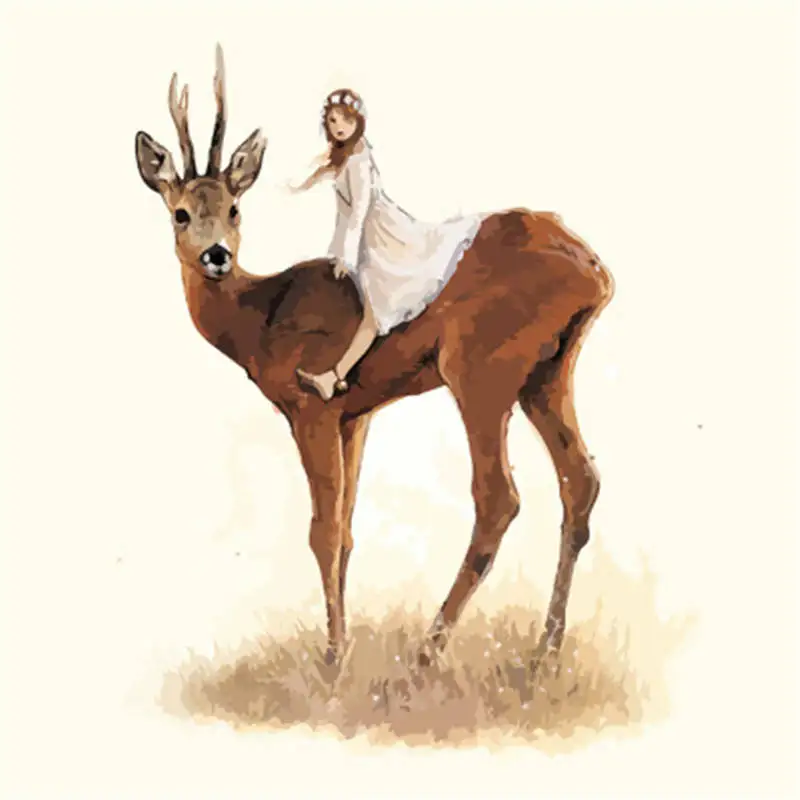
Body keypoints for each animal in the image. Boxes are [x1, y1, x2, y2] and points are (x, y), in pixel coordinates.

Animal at [134, 46, 614, 671]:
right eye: (181, 213)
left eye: (234, 208)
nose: (216, 255)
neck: (262, 315)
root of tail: (596, 271)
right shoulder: (354, 416)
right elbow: (347, 531)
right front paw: (340, 645)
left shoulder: (310, 410)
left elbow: (322, 531)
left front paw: (334, 659)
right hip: (547, 374)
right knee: (580, 480)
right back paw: (543, 654)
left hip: (480, 373)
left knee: (498, 499)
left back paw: (427, 653)